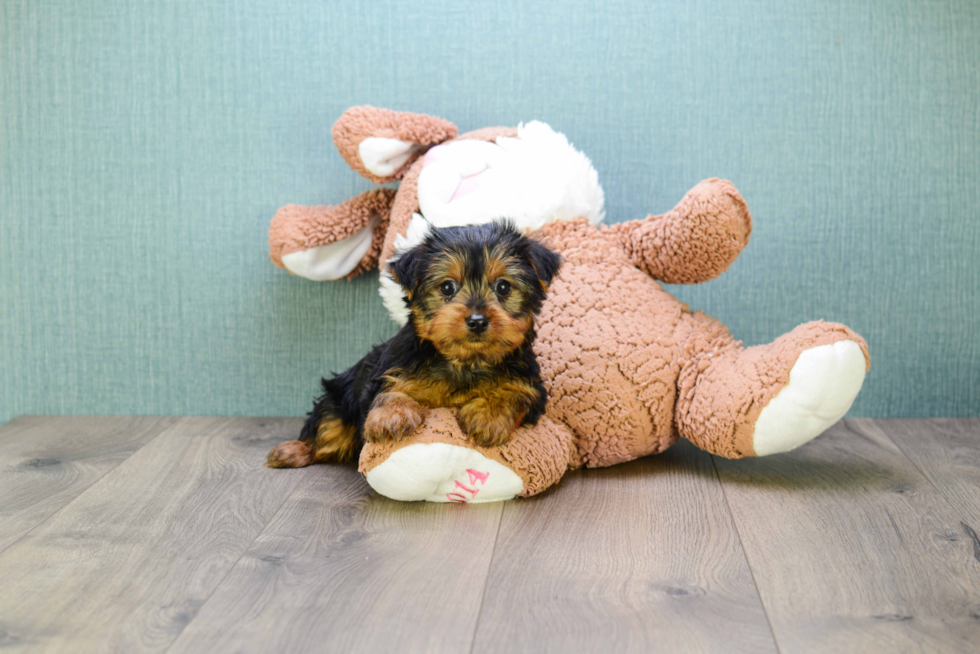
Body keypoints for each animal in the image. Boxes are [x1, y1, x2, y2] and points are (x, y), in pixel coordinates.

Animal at [268, 223, 564, 468]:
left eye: (503, 287)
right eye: (447, 287)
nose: (478, 321)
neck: (464, 363)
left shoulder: (530, 386)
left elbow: (514, 394)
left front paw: (488, 416)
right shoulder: (392, 370)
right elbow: (391, 390)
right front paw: (392, 416)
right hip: (338, 401)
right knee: (326, 433)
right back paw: (293, 451)